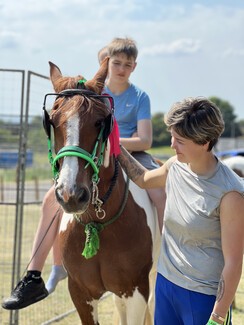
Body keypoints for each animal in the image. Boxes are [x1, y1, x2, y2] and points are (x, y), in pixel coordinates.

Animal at [42, 58, 160, 324]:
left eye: (100, 121)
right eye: (52, 120)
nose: (71, 194)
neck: (96, 223)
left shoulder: (137, 290)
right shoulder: (80, 292)